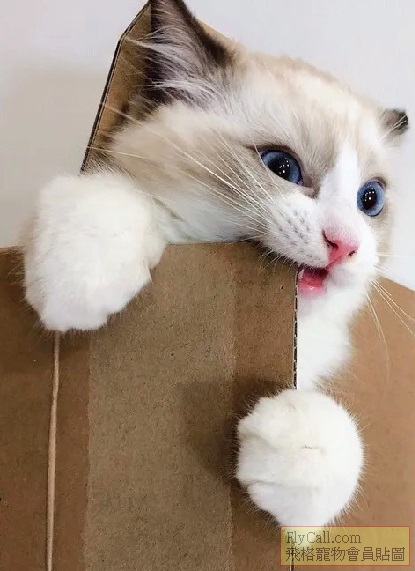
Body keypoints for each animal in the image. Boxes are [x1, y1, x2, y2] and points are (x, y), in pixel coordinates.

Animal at [24, 0, 408, 527]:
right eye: (281, 167)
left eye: (370, 200)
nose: (344, 244)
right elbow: (110, 198)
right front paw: (79, 282)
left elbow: (339, 444)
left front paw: (295, 440)